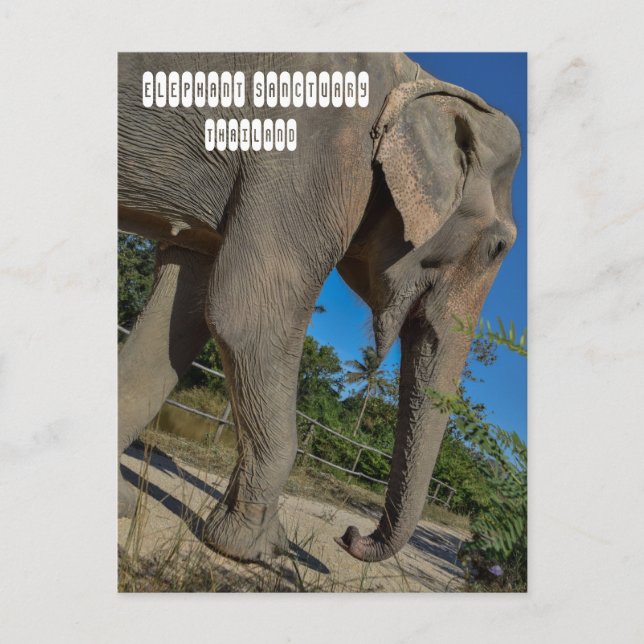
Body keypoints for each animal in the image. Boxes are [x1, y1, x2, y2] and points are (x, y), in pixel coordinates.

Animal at [118, 52, 521, 563]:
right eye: (498, 247)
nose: (349, 534)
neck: (418, 80)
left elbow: (180, 316)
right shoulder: (316, 154)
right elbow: (246, 315)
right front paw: (261, 551)